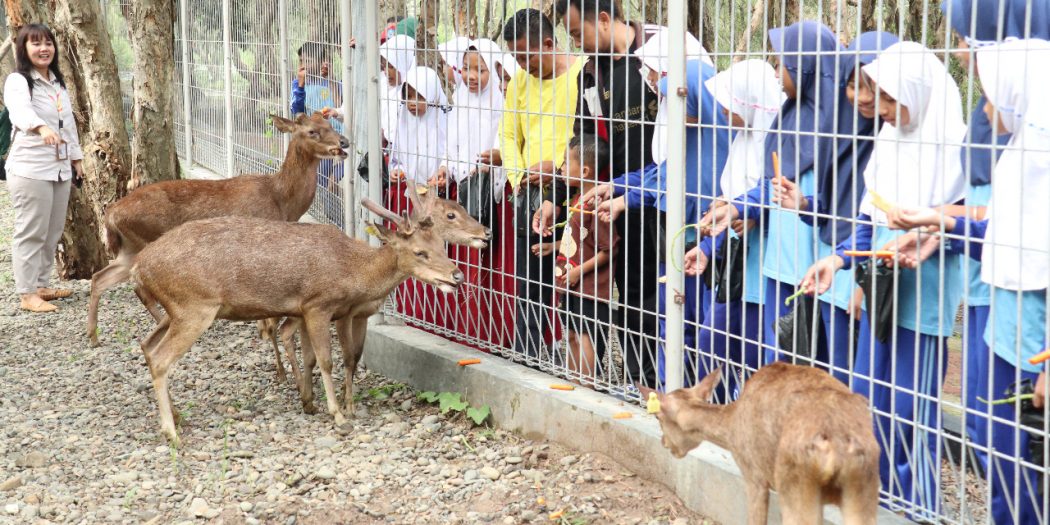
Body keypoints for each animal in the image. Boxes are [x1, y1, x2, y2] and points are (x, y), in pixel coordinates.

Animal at [87, 112, 348, 365]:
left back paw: (94, 336)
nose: (343, 142)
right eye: (312, 131)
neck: (282, 202)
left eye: (329, 123)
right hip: (142, 241)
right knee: (135, 286)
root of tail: (110, 213)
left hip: (128, 248)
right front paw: (264, 330)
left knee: (100, 277)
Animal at [128, 200, 464, 447]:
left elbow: (310, 357)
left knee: (147, 345)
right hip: (194, 306)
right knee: (161, 358)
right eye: (419, 252)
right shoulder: (318, 304)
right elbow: (327, 360)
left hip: (175, 310)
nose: (457, 275)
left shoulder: (302, 310)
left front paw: (309, 403)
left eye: (442, 246)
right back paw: (171, 432)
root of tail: (138, 268)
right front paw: (338, 415)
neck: (352, 270)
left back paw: (178, 416)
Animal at [256, 182, 489, 388]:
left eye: (462, 206)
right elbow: (348, 355)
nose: (486, 232)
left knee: (282, 329)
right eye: (451, 214)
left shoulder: (363, 314)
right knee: (275, 327)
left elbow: (356, 354)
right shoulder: (343, 313)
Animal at [655, 361, 877, 525]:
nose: (663, 442)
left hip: (794, 484)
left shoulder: (754, 475)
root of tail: (836, 446)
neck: (731, 427)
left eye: (658, 418)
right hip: (862, 487)